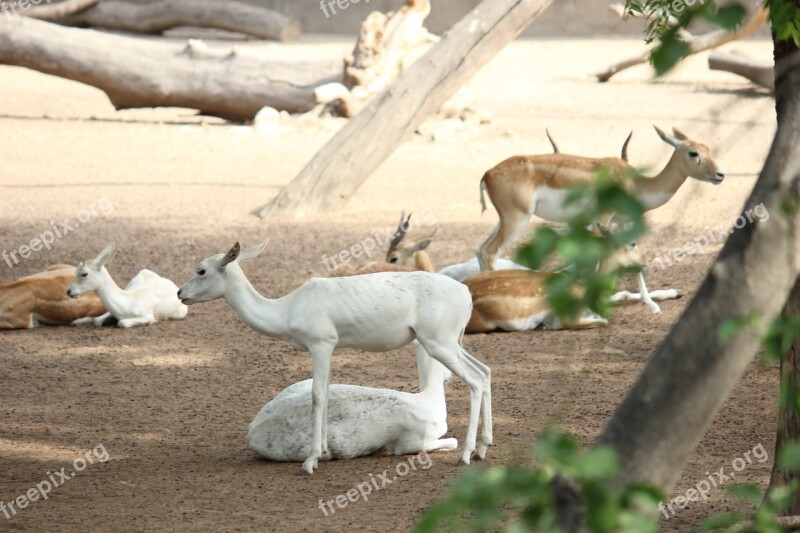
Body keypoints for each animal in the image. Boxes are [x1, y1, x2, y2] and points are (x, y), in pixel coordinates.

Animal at [476, 127, 724, 314]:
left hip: (505, 220)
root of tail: (487, 174)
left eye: (708, 149)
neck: (634, 183)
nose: (720, 175)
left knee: (480, 250)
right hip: (517, 219)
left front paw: (653, 305)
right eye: (693, 152)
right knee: (490, 253)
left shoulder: (621, 224)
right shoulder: (600, 221)